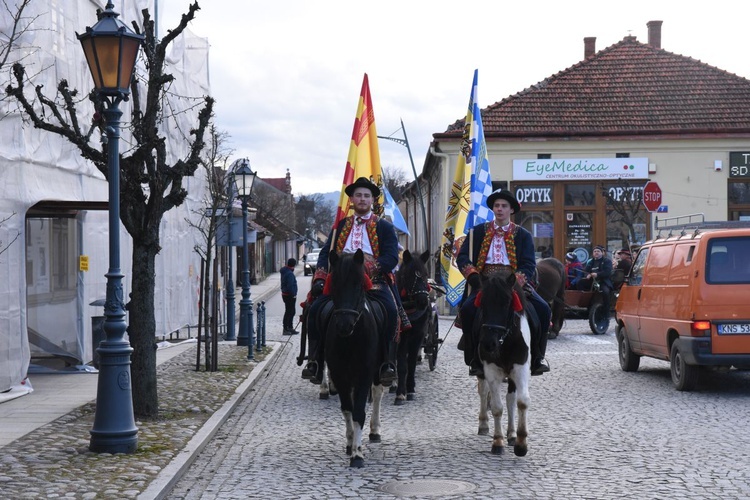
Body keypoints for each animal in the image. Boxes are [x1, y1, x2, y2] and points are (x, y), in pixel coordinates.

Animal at [324, 250, 388, 468]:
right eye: (334, 285)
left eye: (358, 285)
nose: (344, 325)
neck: (351, 339)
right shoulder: (339, 374)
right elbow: (347, 410)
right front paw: (351, 444)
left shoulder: (365, 373)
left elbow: (359, 412)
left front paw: (358, 454)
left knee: (377, 393)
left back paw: (375, 431)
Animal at [476, 270, 536, 458]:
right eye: (483, 303)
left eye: (507, 303)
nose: (489, 344)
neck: (506, 341)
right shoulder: (491, 370)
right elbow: (496, 407)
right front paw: (497, 441)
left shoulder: (521, 368)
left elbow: (522, 401)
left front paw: (521, 443)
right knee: (483, 392)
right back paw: (484, 424)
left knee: (511, 399)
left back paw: (511, 434)